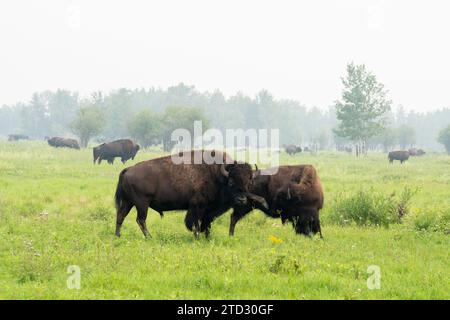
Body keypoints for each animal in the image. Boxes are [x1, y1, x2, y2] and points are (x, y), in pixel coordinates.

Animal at [114, 149, 268, 238]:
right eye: (231, 182)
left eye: (248, 183)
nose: (241, 200)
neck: (217, 175)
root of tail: (128, 170)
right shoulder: (197, 206)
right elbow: (196, 223)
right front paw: (198, 236)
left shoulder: (207, 210)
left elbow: (207, 223)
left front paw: (207, 237)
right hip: (142, 204)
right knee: (140, 220)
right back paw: (149, 237)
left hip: (128, 202)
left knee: (121, 216)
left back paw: (118, 235)